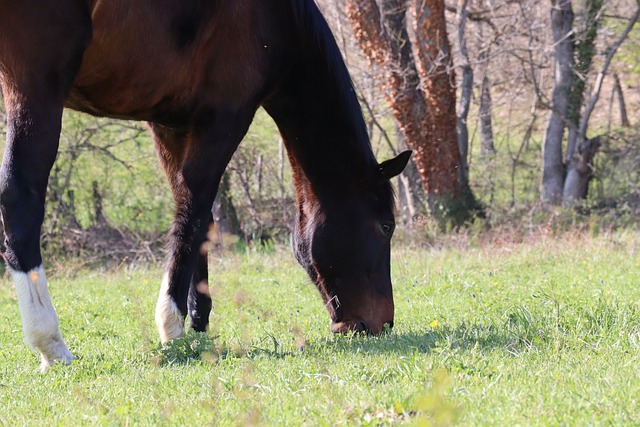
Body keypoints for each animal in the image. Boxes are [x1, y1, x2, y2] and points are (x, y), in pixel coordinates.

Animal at [0, 0, 410, 370]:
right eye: (386, 225)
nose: (383, 322)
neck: (278, 17)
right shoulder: (226, 118)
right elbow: (195, 208)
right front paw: (172, 324)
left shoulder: (169, 123)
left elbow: (194, 217)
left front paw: (197, 319)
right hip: (36, 85)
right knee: (20, 197)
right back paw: (50, 341)